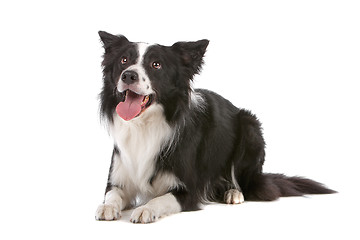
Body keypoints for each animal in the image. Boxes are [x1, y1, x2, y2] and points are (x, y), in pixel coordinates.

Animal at [95, 31, 334, 223]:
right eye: (124, 60)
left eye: (156, 65)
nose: (128, 75)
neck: (144, 125)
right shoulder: (118, 179)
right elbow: (112, 195)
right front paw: (107, 206)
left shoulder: (187, 192)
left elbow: (160, 199)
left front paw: (146, 209)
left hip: (250, 128)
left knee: (244, 181)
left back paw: (233, 193)